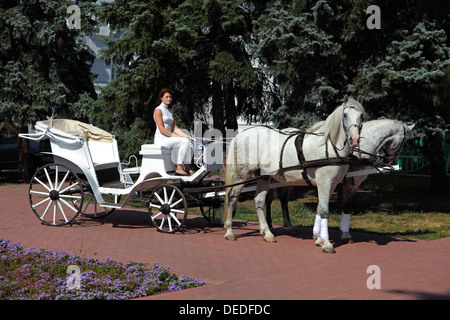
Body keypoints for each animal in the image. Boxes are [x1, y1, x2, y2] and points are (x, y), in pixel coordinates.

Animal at [223, 95, 364, 252]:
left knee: (258, 201)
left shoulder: (332, 184)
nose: (355, 139)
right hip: (243, 174)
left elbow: (319, 208)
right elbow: (323, 210)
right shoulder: (324, 182)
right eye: (345, 115)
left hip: (264, 177)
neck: (329, 147)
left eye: (361, 116)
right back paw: (229, 231)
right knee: (232, 196)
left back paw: (267, 233)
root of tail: (241, 135)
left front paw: (319, 239)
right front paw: (326, 243)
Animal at [268, 119, 414, 246]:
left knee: (283, 198)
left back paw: (288, 225)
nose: (391, 161)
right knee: (268, 200)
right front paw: (345, 234)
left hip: (289, 180)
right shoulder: (349, 183)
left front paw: (318, 234)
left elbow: (324, 206)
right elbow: (346, 206)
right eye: (405, 141)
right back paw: (270, 229)